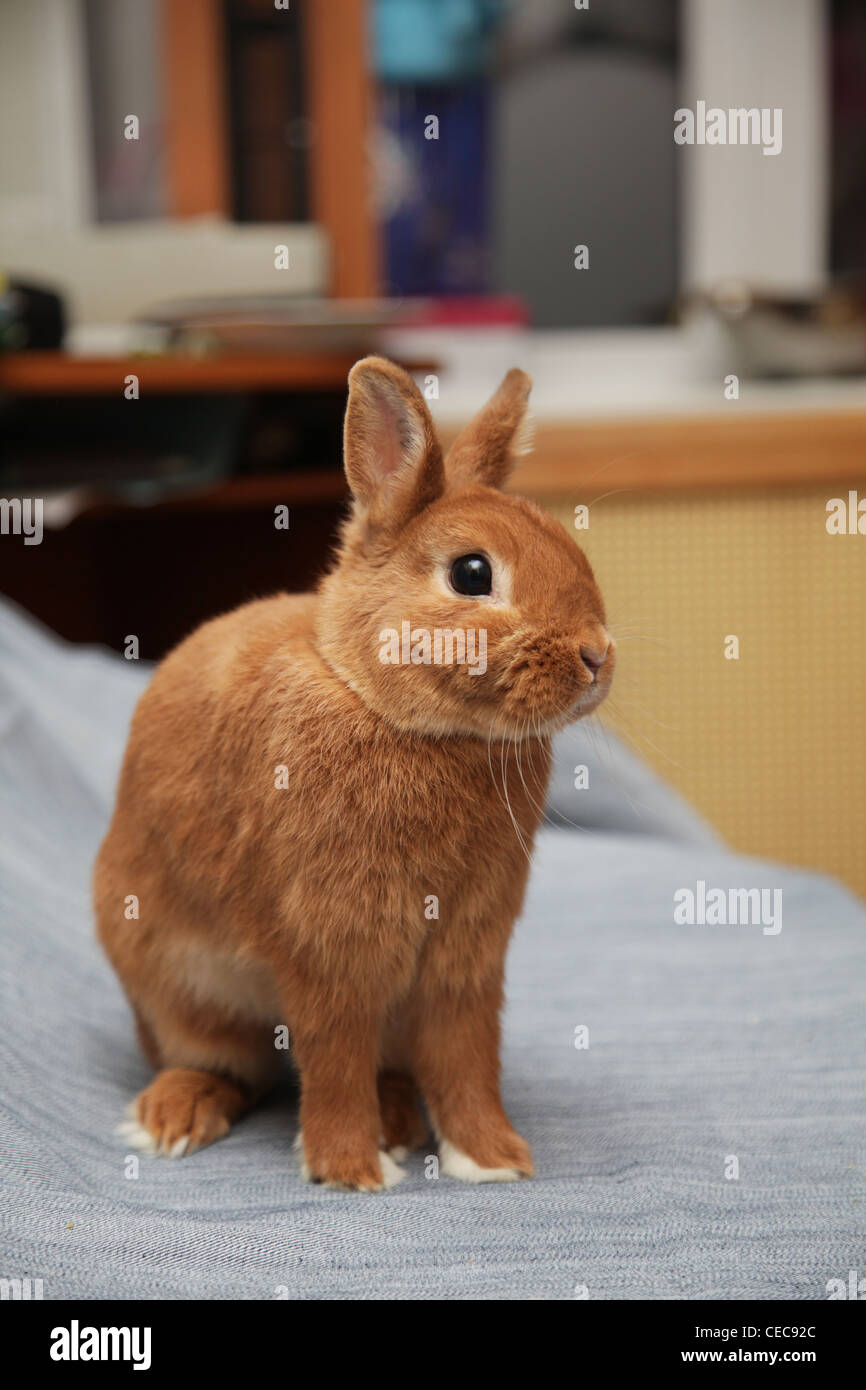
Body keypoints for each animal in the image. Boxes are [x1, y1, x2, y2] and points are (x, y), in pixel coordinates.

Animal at [94, 356, 614, 1191]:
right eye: (473, 573)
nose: (597, 655)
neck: (394, 712)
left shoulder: (467, 954)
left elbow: (468, 1059)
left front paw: (493, 1160)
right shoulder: (328, 943)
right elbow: (335, 1055)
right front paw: (348, 1170)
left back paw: (399, 1122)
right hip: (174, 984)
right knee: (228, 1064)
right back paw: (172, 1118)